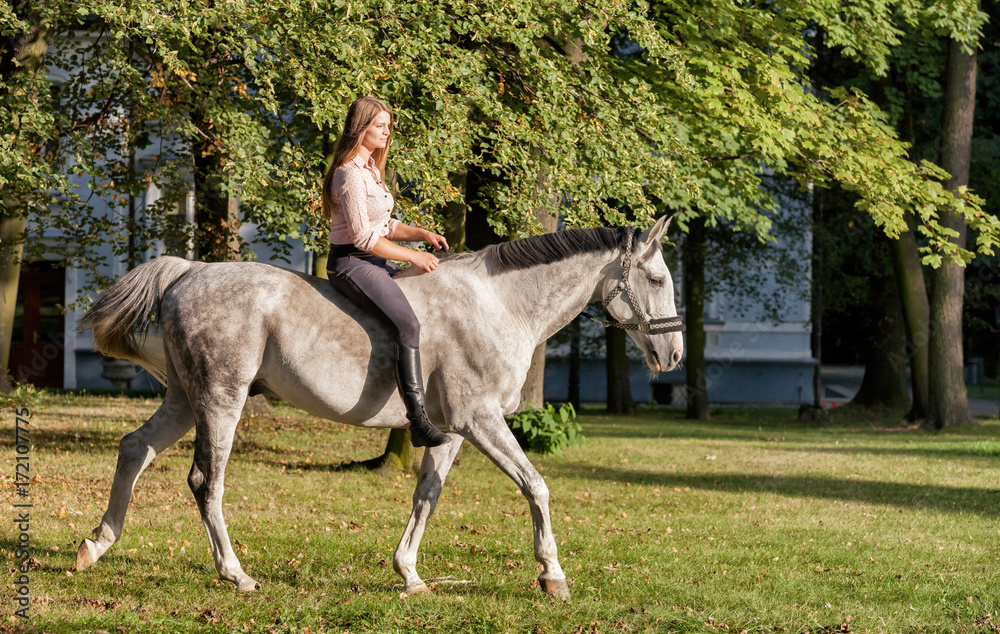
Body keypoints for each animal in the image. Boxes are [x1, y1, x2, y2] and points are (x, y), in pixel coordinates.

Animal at [74, 217, 684, 596]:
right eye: (656, 278)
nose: (674, 353)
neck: (500, 305)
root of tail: (190, 271)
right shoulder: (480, 420)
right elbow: (536, 486)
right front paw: (552, 575)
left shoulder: (451, 431)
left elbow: (426, 497)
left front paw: (409, 574)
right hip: (221, 399)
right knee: (206, 480)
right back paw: (235, 573)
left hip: (185, 399)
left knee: (134, 450)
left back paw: (96, 545)